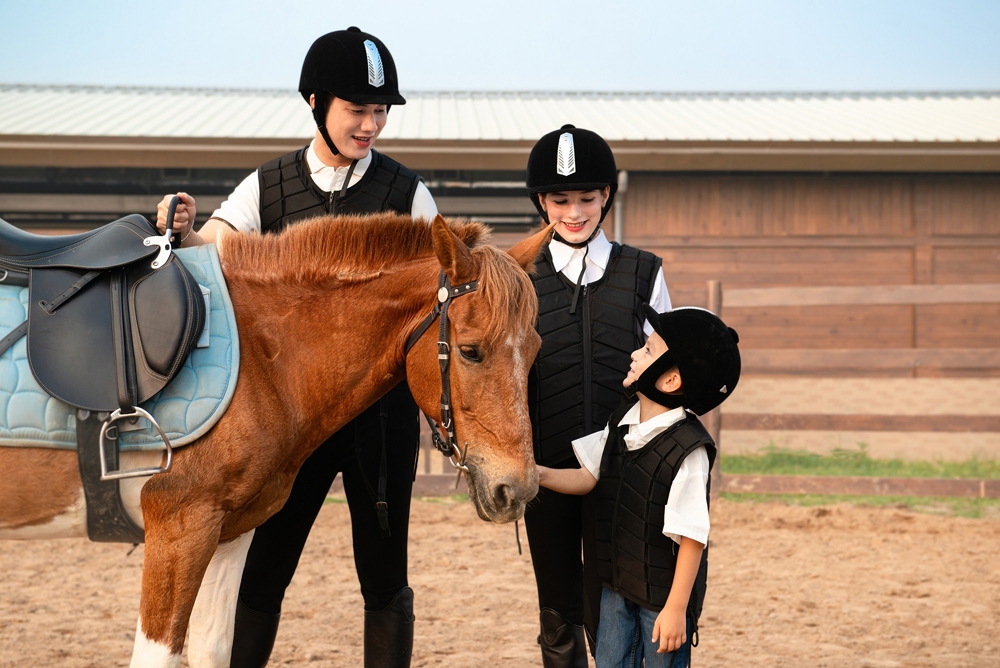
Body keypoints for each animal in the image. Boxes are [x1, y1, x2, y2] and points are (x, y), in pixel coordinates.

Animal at [0, 215, 548, 668]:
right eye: (471, 351)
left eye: (535, 347)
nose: (516, 490)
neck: (260, 356)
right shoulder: (177, 527)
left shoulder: (227, 533)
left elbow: (214, 649)